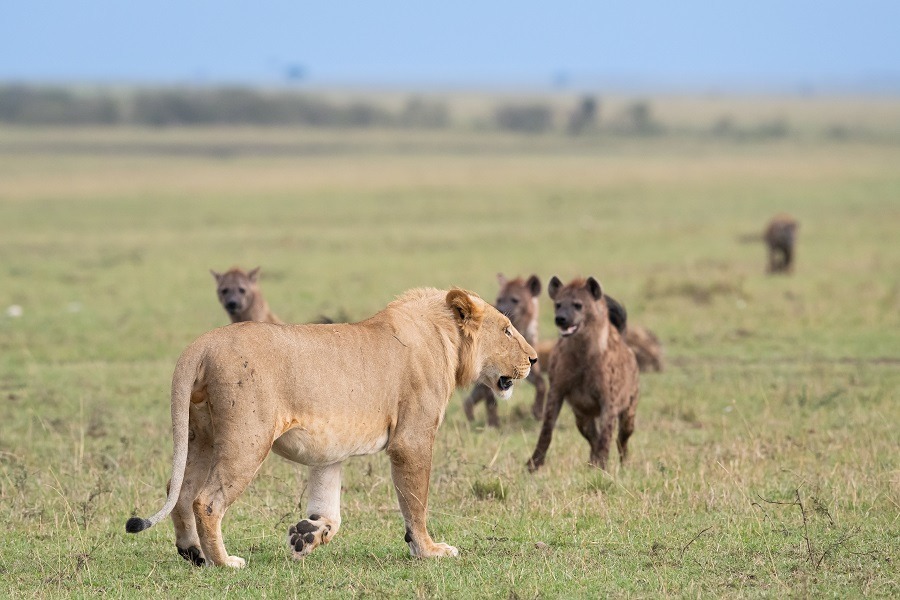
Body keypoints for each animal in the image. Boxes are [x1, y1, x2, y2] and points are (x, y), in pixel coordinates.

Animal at [125, 288, 537, 567]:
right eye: (507, 330)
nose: (533, 359)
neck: (444, 337)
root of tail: (202, 344)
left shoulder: (329, 450)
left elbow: (329, 509)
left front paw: (305, 536)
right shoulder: (412, 439)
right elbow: (415, 501)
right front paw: (429, 550)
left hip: (202, 436)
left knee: (178, 490)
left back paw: (192, 553)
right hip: (247, 439)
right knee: (206, 501)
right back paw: (224, 562)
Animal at [463, 274, 546, 426]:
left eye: (515, 299)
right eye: (499, 299)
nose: (501, 308)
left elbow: (541, 383)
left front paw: (538, 413)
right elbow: (490, 399)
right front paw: (493, 423)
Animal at [528, 276, 639, 472]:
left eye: (578, 305)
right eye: (558, 304)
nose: (561, 319)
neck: (583, 353)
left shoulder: (609, 399)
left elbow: (606, 435)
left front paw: (603, 467)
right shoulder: (557, 389)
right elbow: (547, 428)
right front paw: (533, 464)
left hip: (629, 408)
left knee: (622, 436)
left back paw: (623, 464)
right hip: (581, 416)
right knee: (592, 435)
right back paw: (591, 463)